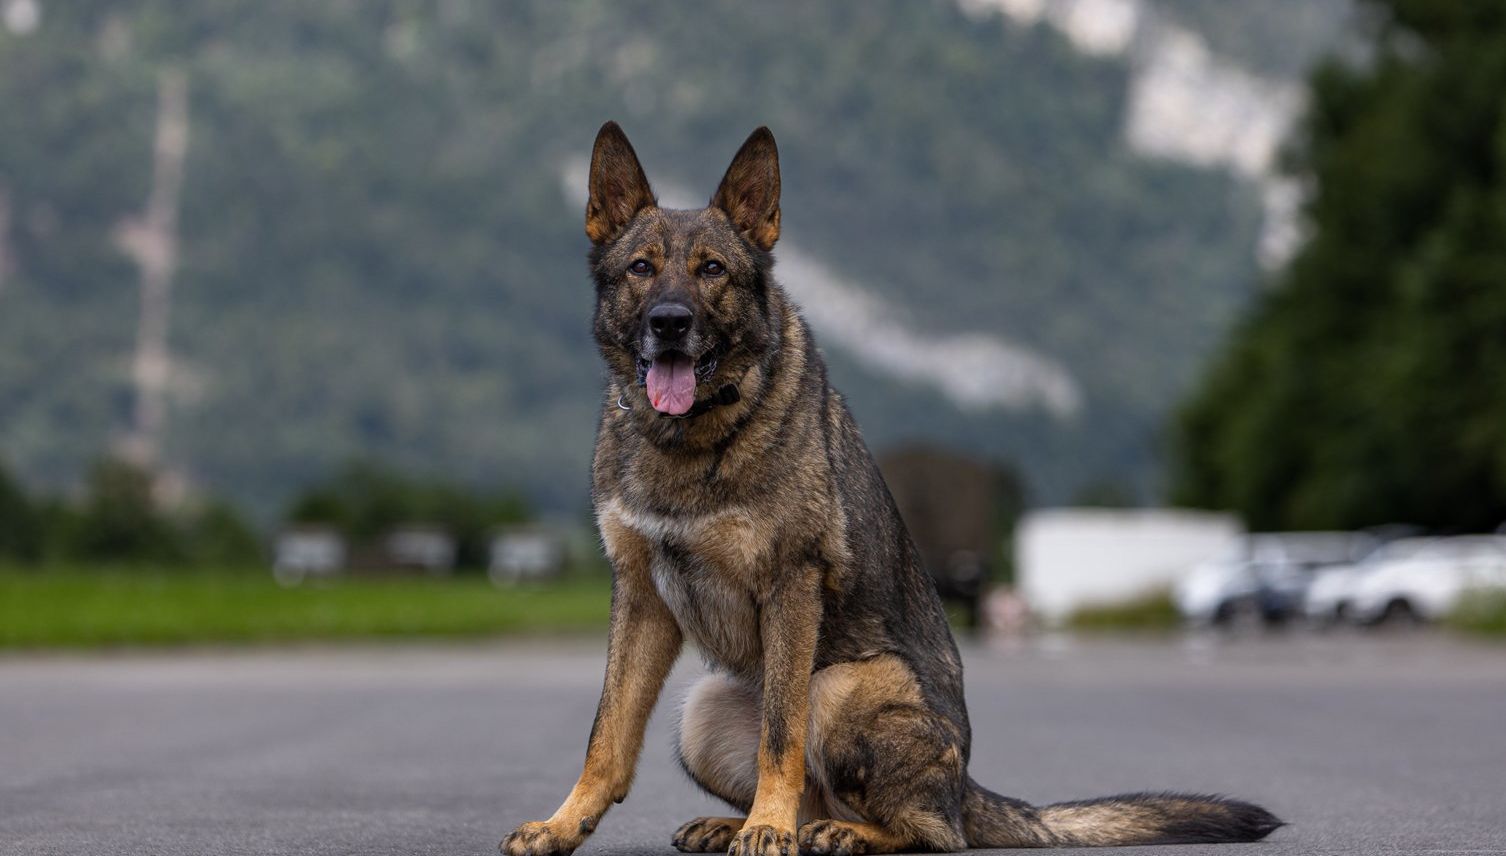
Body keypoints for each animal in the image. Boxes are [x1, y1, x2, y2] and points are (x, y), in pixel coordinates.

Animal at [499, 122, 1277, 856]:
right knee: (824, 797)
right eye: (641, 268)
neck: (694, 440)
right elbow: (607, 733)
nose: (669, 324)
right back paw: (749, 825)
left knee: (925, 828)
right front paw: (563, 824)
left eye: (712, 270)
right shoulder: (639, 595)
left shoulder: (791, 584)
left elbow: (780, 735)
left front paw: (766, 828)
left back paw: (829, 831)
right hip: (701, 713)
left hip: (842, 686)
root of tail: (965, 785)